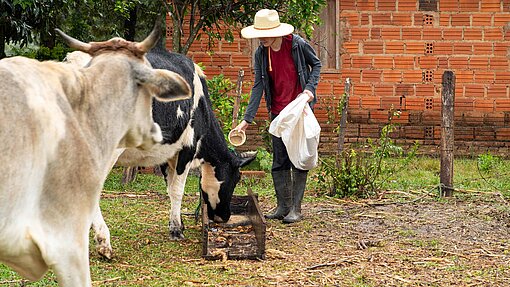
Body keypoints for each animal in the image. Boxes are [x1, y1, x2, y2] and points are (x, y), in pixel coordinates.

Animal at [90, 45, 255, 258]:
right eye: (236, 179)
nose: (224, 217)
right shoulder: (187, 148)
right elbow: (177, 190)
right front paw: (176, 229)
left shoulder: (167, 154)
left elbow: (169, 188)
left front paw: (178, 224)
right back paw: (104, 243)